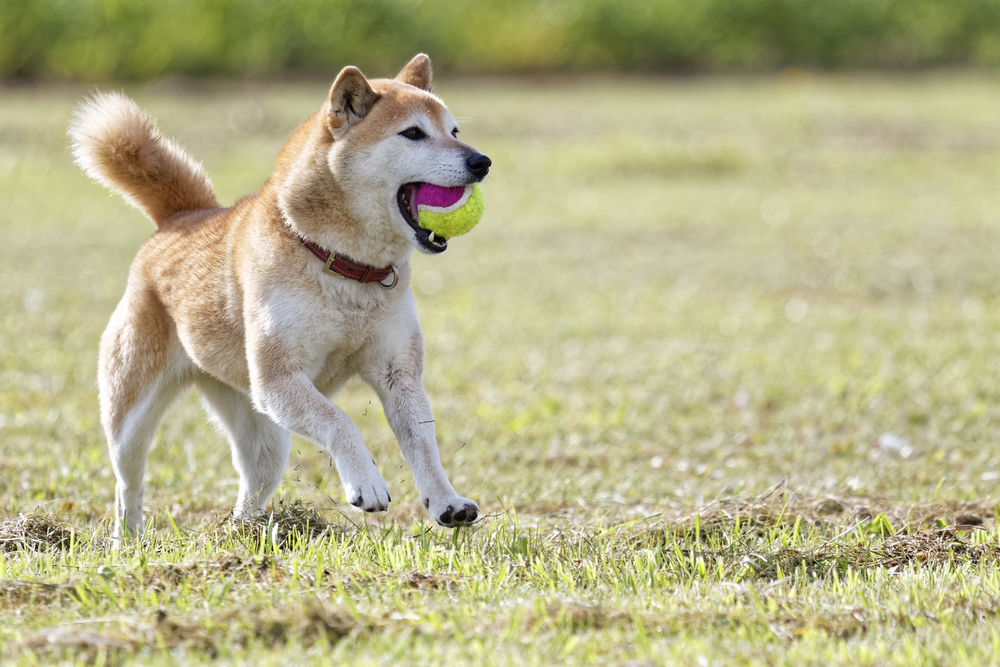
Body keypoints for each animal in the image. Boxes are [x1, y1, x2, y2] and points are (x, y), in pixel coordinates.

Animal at [68, 54, 490, 540]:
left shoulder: (397, 372)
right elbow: (341, 423)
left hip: (263, 428)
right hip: (133, 418)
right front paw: (366, 482)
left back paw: (244, 533)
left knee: (253, 485)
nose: (482, 161)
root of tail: (181, 218)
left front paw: (446, 501)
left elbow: (424, 444)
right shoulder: (279, 379)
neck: (343, 266)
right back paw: (129, 541)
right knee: (128, 485)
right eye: (414, 133)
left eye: (454, 131)